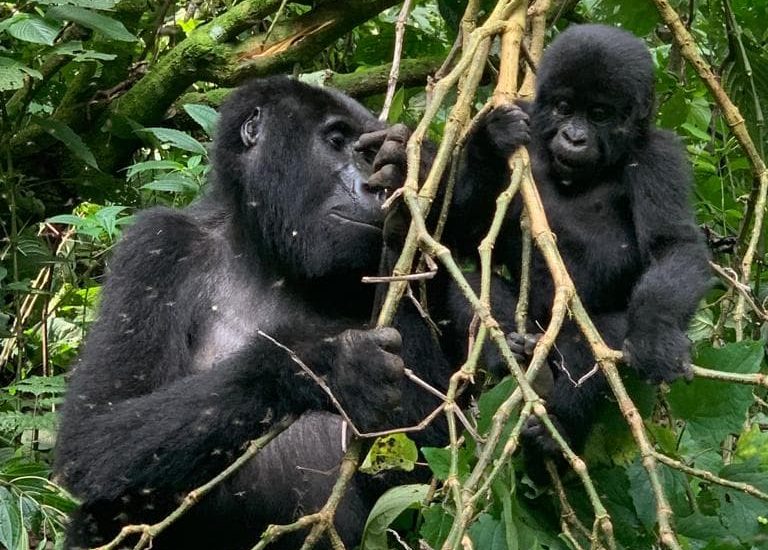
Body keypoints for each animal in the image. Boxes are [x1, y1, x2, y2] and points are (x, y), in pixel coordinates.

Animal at [57, 77, 452, 550]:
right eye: (337, 141)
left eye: (370, 155)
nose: (374, 188)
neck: (268, 256)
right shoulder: (157, 244)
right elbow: (93, 432)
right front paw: (325, 362)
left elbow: (430, 457)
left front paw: (417, 177)